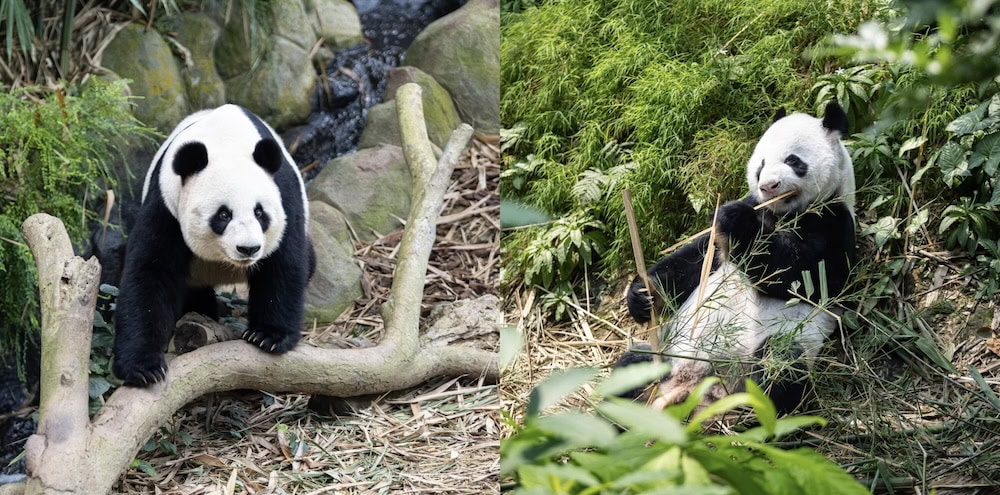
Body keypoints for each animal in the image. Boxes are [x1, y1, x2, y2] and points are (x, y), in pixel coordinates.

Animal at [113, 104, 316, 387]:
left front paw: (268, 336)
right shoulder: (167, 206)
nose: (248, 249)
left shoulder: (284, 198)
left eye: (260, 213)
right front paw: (143, 368)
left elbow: (283, 265)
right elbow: (150, 272)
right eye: (223, 215)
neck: (226, 140)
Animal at [620, 102, 856, 413]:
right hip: (667, 357)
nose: (768, 186)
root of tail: (692, 388)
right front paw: (642, 294)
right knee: (629, 367)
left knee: (779, 367)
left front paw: (739, 223)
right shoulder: (737, 220)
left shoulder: (833, 223)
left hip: (774, 348)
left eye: (794, 161)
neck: (779, 213)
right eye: (761, 164)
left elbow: (800, 277)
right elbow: (693, 260)